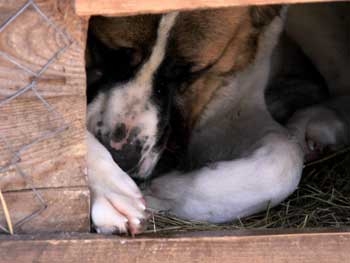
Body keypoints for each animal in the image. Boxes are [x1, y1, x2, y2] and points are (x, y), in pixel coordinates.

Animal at [85, 3, 350, 235]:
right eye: (103, 49)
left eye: (191, 73)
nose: (121, 157)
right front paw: (107, 185)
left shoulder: (230, 108)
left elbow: (283, 160)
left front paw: (164, 191)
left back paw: (316, 121)